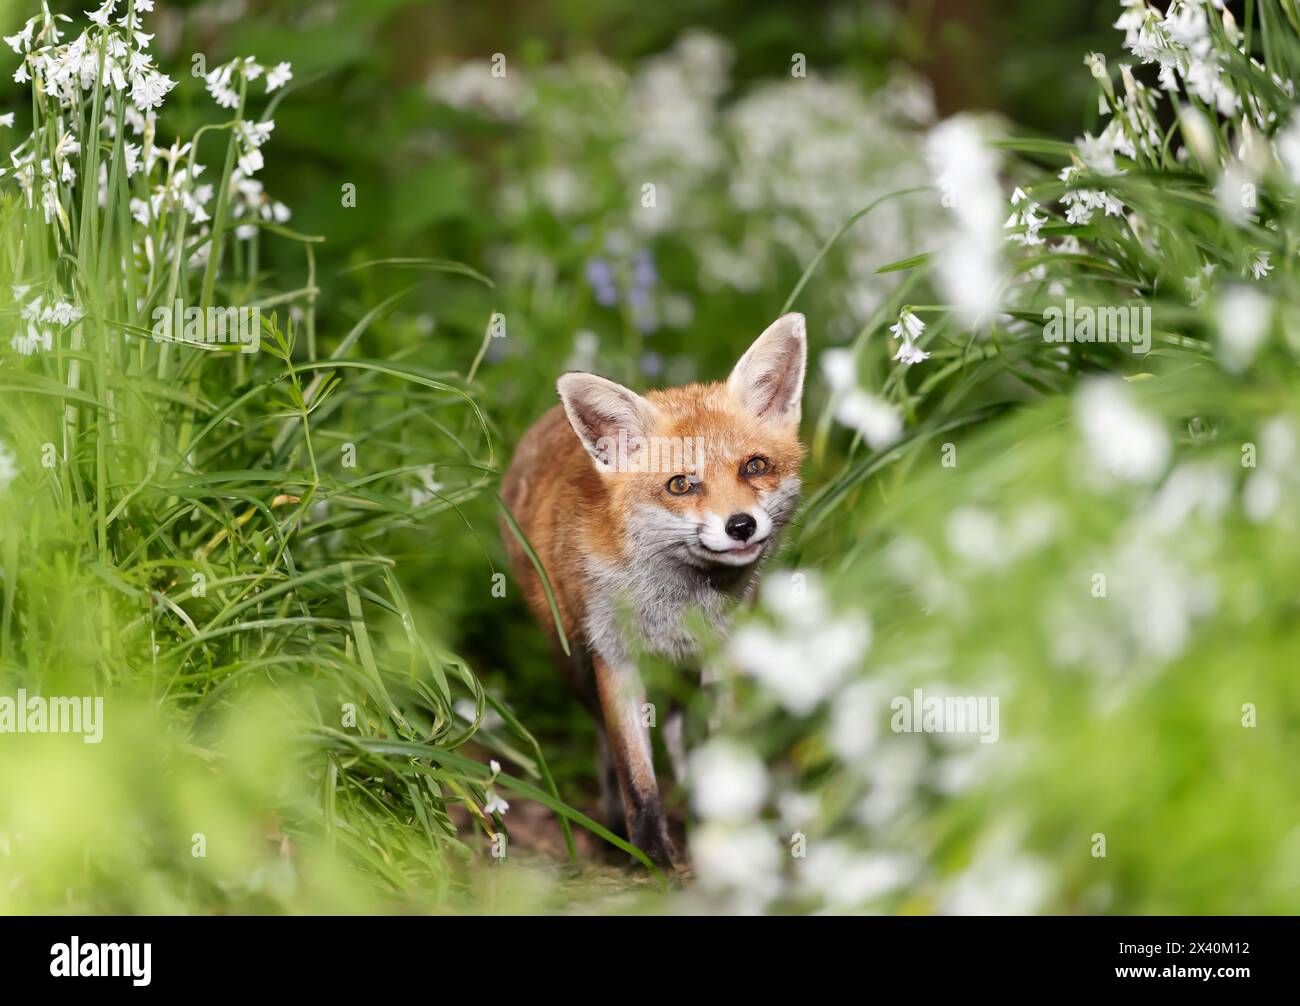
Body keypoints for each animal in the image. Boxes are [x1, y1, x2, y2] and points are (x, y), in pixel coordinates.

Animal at [500, 313, 807, 867]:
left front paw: (723, 832)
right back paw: (611, 828)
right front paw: (650, 858)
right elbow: (636, 774)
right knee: (605, 744)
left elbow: (719, 753)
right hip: (574, 665)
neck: (678, 603)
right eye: (681, 485)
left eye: (755, 466)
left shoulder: (724, 657)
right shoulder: (614, 660)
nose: (741, 526)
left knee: (682, 737)